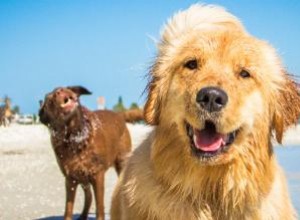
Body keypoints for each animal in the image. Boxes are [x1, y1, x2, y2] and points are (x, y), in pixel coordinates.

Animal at [38, 86, 134, 220]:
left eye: (64, 88)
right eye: (49, 99)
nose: (59, 91)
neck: (74, 136)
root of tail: (119, 115)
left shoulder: (97, 175)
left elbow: (100, 207)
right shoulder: (70, 179)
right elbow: (68, 209)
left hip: (121, 162)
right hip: (82, 178)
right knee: (88, 196)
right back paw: (83, 215)